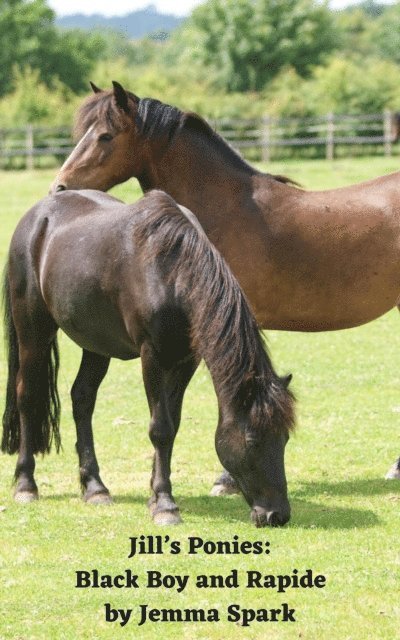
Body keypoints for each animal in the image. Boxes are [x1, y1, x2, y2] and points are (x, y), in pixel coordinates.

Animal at [2, 188, 295, 527]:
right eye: (252, 441)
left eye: (285, 439)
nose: (276, 514)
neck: (172, 274)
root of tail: (38, 216)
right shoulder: (152, 356)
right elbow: (161, 429)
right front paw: (165, 505)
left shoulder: (186, 361)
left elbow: (173, 425)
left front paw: (155, 494)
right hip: (33, 331)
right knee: (27, 396)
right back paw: (26, 485)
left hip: (96, 344)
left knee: (82, 400)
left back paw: (95, 487)